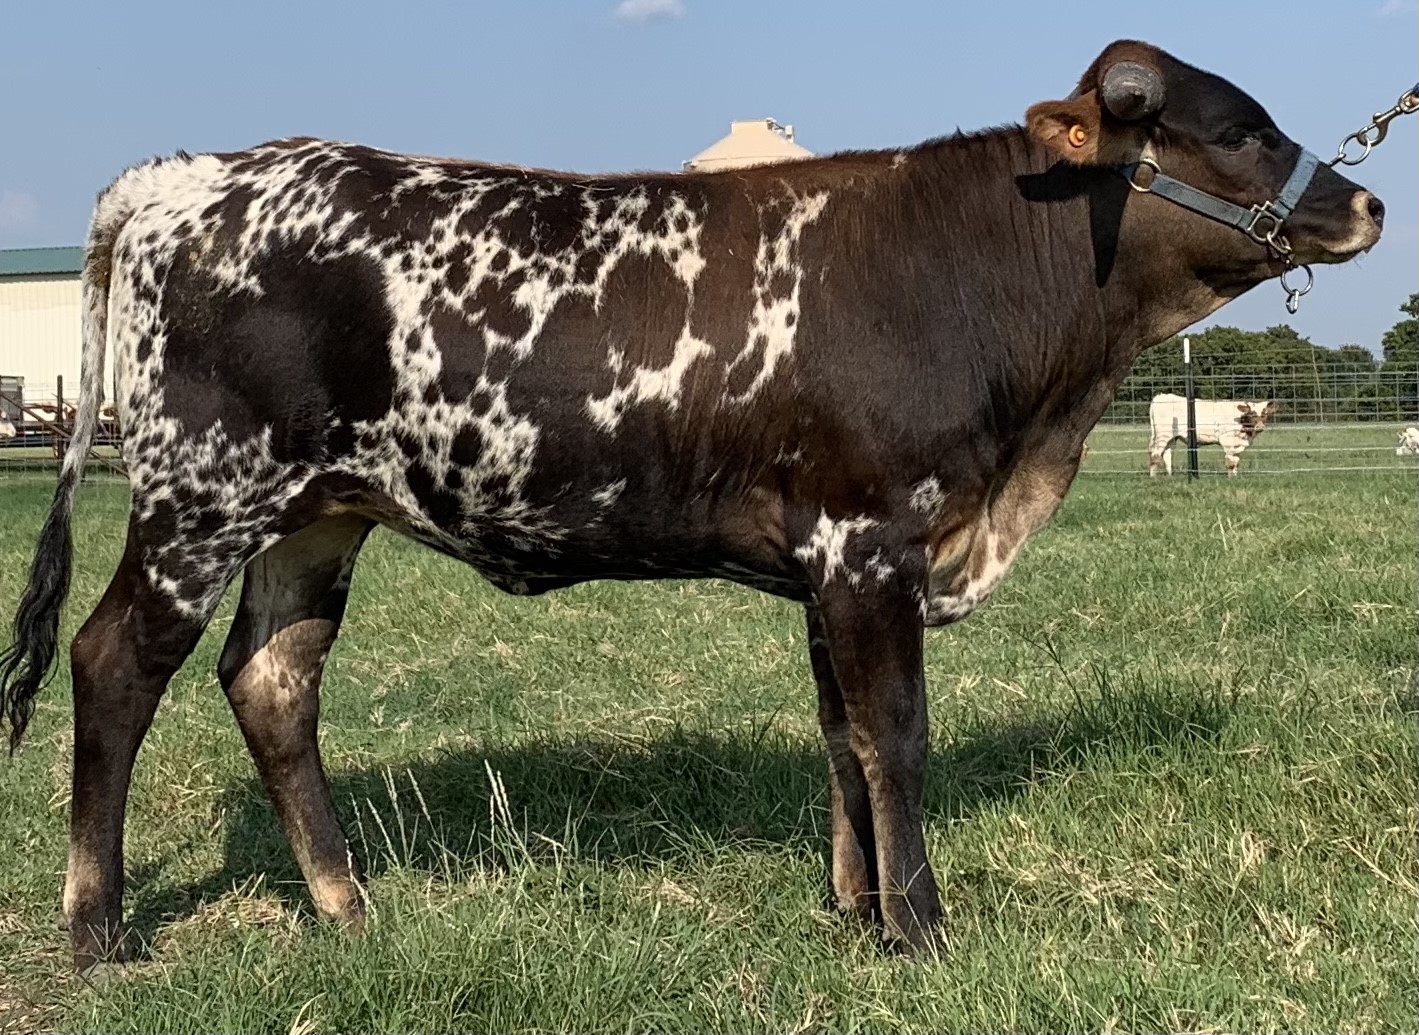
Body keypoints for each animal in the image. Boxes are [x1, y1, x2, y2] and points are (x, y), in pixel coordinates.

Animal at [1148, 394, 1277, 476]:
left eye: (1265, 414)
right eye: (1251, 414)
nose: (1260, 426)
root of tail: (1161, 396)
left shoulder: (1238, 444)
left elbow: (1236, 462)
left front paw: (1235, 477)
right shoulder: (1228, 441)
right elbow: (1230, 463)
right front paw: (1231, 479)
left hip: (1172, 437)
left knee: (1167, 455)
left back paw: (1170, 476)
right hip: (1163, 435)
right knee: (1155, 455)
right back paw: (1153, 477)